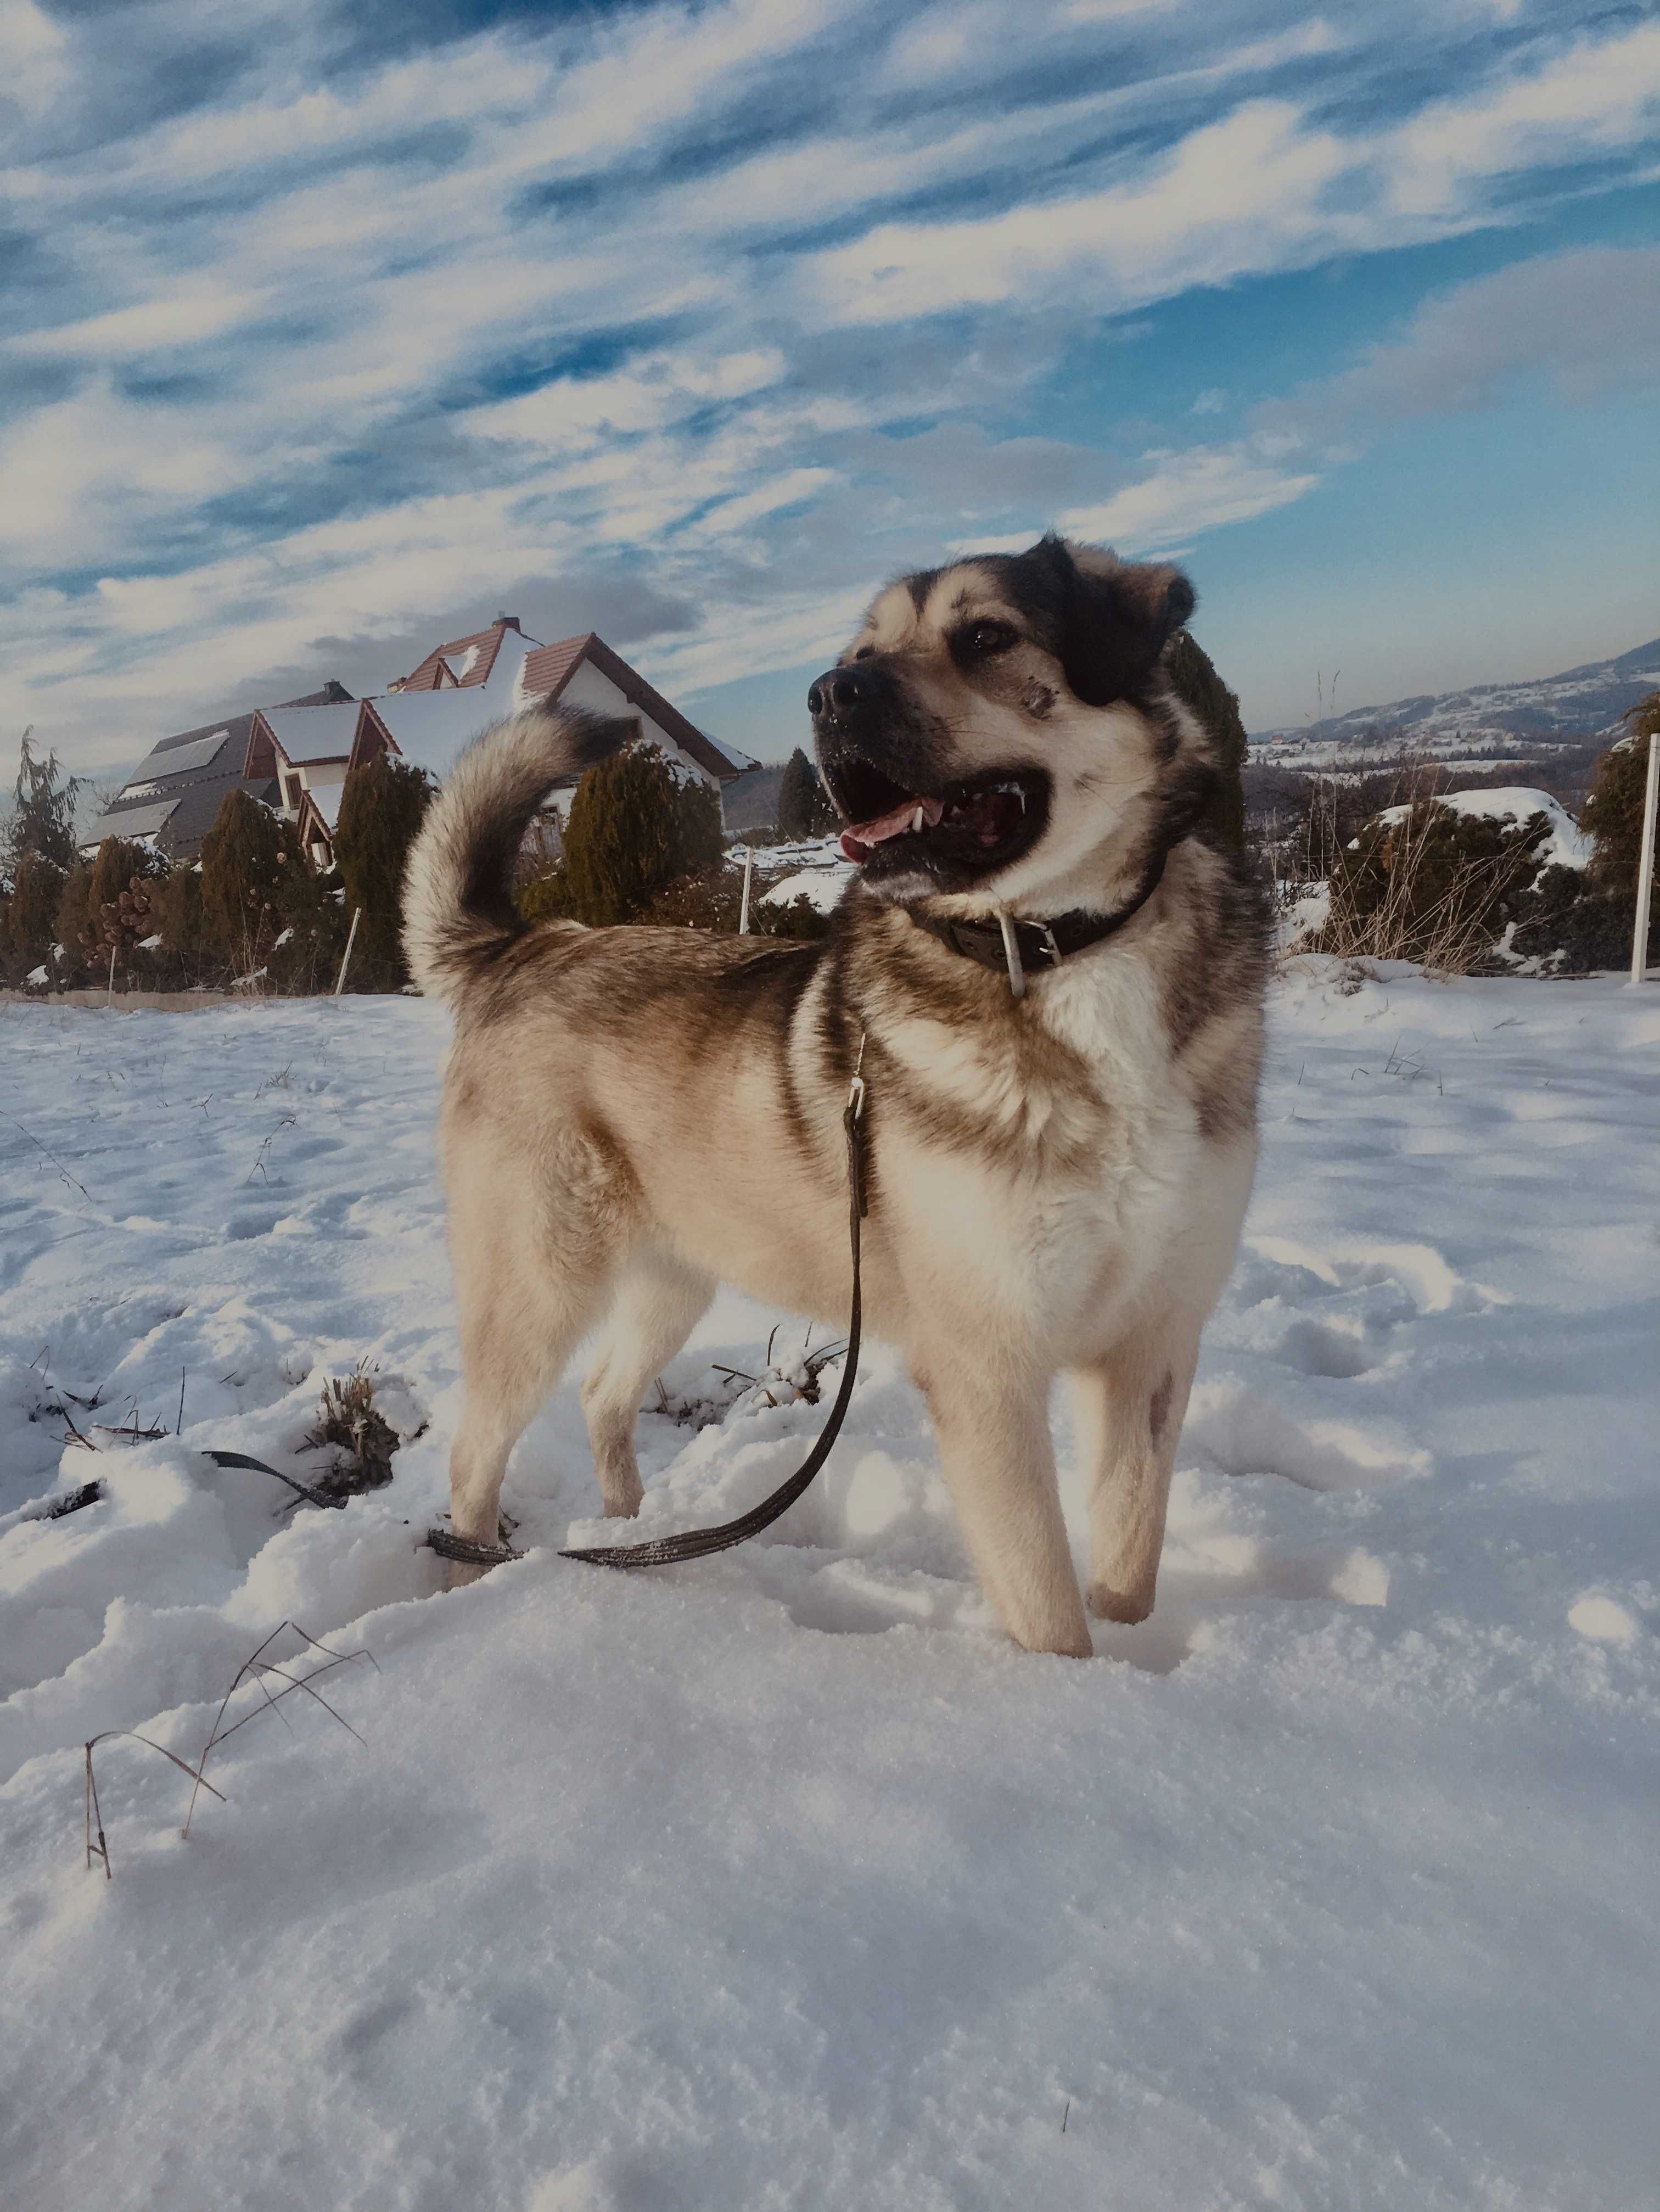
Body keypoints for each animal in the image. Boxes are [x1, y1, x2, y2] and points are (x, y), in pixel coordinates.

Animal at [408, 530, 1264, 1645]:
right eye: (861, 652)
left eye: (985, 637)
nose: (826, 693)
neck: (1058, 951)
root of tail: (524, 944)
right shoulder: (988, 1370)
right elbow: (1048, 1610)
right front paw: (1071, 1688)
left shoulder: (1151, 1348)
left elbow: (1127, 1567)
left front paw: (1139, 1667)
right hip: (539, 1286)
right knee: (475, 1452)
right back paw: (468, 1594)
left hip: (676, 1272)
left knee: (601, 1392)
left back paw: (629, 1538)